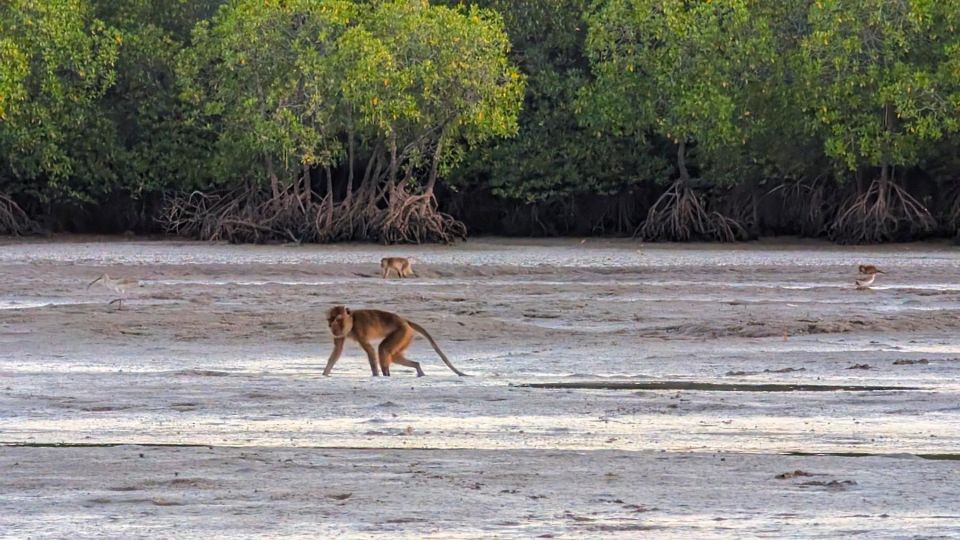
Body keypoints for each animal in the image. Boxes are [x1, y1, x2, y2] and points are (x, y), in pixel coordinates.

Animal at [324, 306, 466, 378]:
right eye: (330, 319)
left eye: (338, 319)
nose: (331, 326)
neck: (352, 321)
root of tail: (404, 320)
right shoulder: (340, 334)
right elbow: (337, 351)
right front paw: (324, 374)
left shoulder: (359, 329)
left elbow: (370, 350)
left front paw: (375, 376)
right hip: (406, 336)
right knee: (394, 356)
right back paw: (417, 368)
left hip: (402, 332)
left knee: (383, 349)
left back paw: (386, 375)